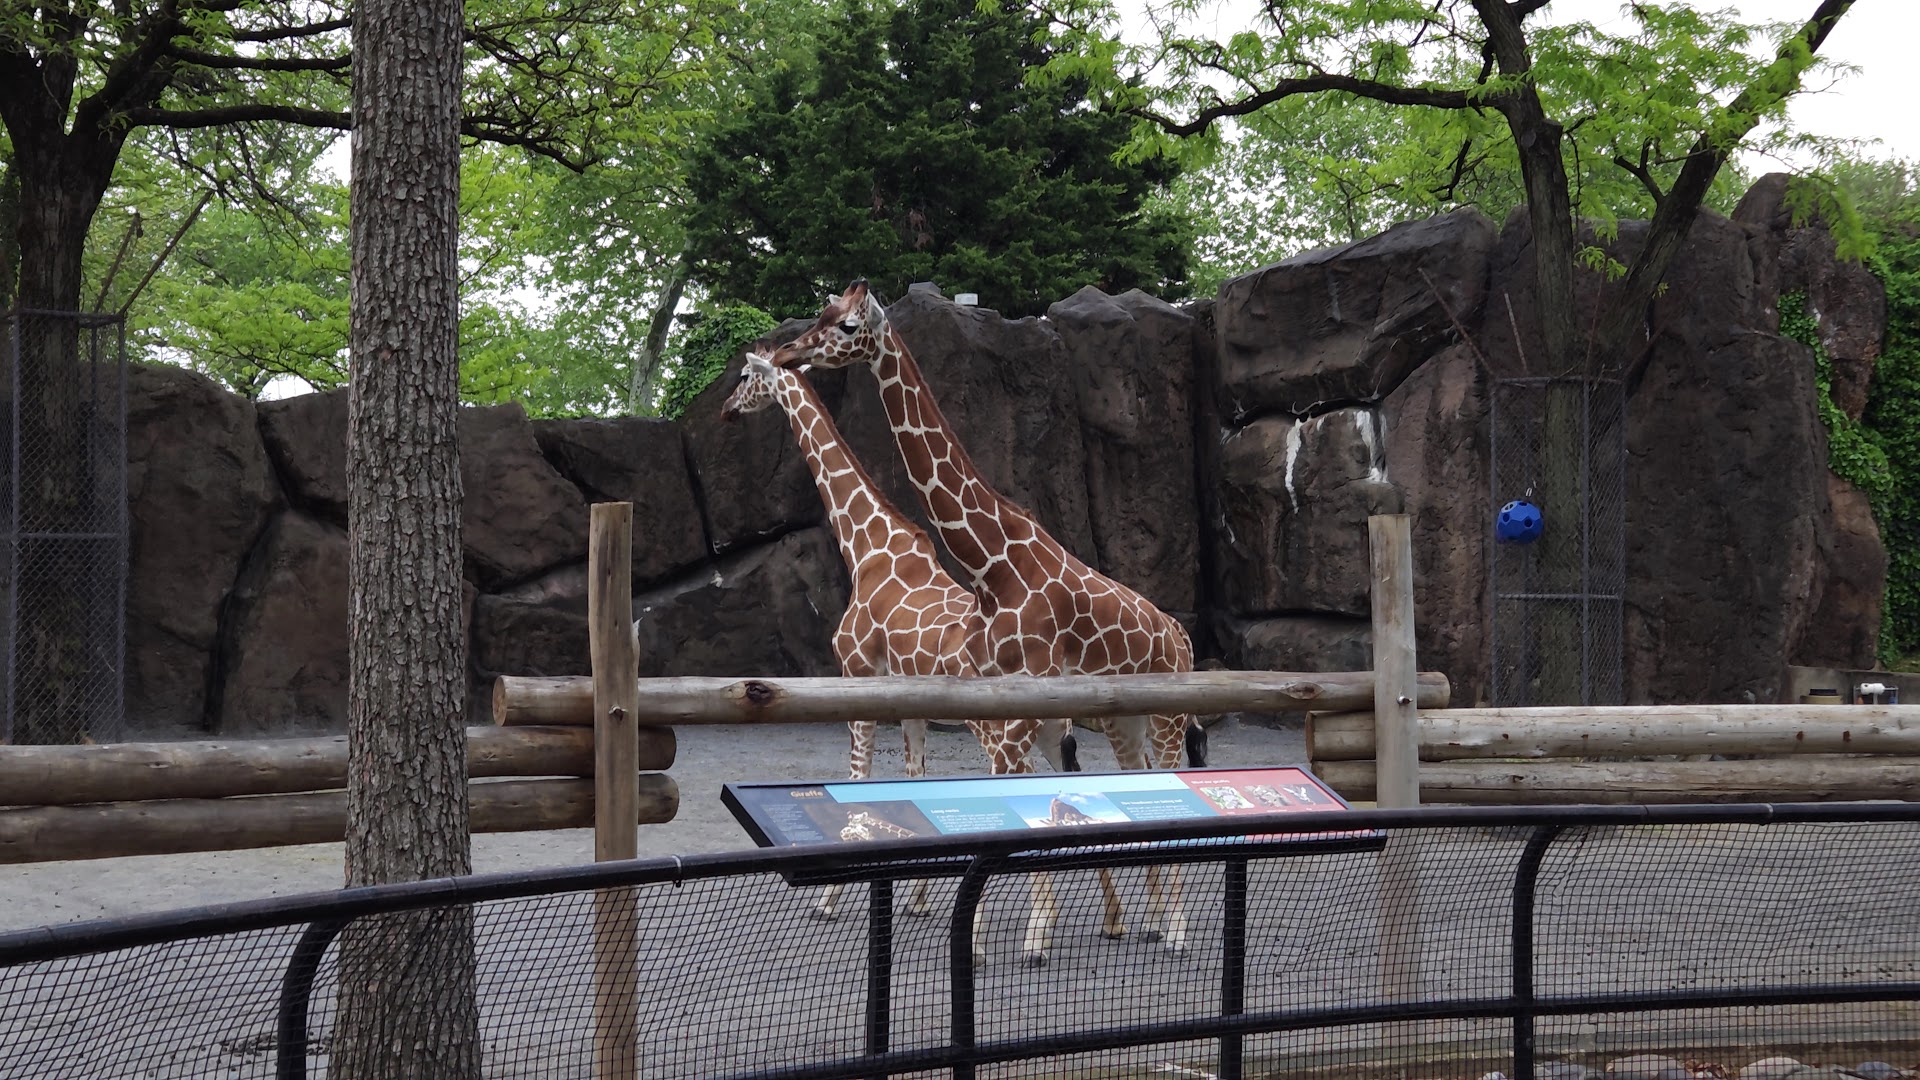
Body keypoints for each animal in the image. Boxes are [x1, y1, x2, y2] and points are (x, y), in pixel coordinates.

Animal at [721, 350, 1050, 926]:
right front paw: (915, 900)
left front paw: (828, 901)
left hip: (994, 724)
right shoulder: (909, 701)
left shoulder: (857, 677)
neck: (868, 546)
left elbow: (857, 780)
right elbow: (914, 779)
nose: (725, 410)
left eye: (743, 377)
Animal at [771, 281, 1202, 963]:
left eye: (843, 326)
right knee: (1131, 787)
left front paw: (1005, 939)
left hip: (1166, 715)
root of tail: (1180, 634)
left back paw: (1178, 930)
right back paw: (1148, 920)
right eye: (819, 314)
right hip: (1123, 722)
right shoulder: (998, 704)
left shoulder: (1006, 705)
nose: (788, 354)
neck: (994, 565)